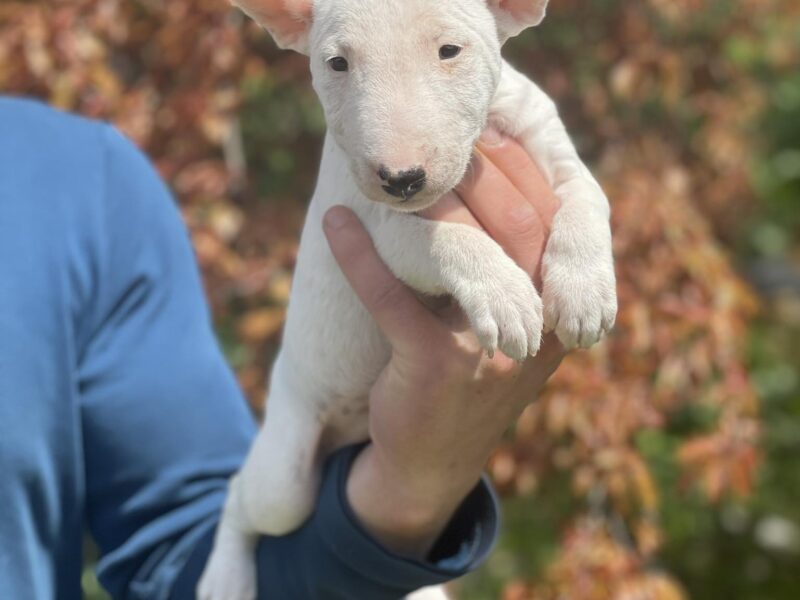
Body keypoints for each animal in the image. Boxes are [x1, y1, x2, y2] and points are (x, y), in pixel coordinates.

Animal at [197, 1, 616, 600]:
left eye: (449, 51)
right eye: (338, 63)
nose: (401, 179)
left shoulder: (550, 146)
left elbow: (587, 198)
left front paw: (584, 295)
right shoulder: (375, 225)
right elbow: (447, 239)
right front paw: (506, 297)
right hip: (286, 473)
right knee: (241, 497)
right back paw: (224, 578)